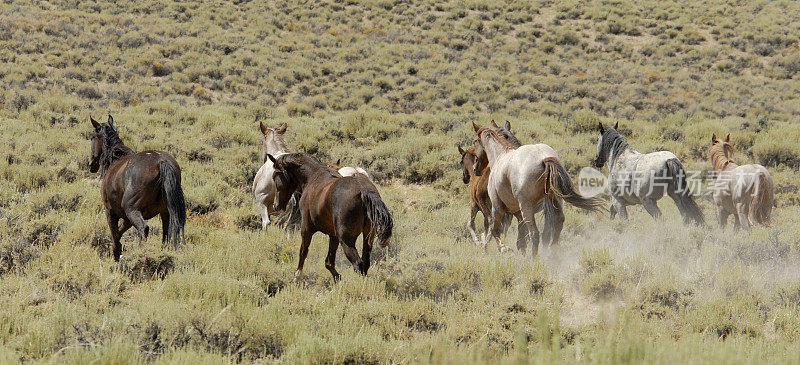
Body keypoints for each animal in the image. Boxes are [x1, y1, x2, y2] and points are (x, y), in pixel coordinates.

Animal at [88, 115, 187, 260]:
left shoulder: (110, 211)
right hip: (165, 212)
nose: (90, 164)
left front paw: (116, 255)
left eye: (92, 137)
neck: (115, 160)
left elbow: (115, 235)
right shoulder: (126, 218)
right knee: (167, 233)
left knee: (143, 229)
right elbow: (119, 233)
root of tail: (161, 162)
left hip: (132, 209)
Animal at [268, 152, 394, 280]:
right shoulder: (333, 235)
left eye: (274, 176)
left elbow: (303, 251)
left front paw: (297, 276)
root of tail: (363, 190)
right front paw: (337, 278)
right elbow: (329, 262)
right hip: (368, 237)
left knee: (357, 263)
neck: (313, 177)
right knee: (365, 263)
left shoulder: (306, 228)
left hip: (346, 240)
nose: (276, 205)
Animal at [472, 121, 604, 256]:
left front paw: (501, 248)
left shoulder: (498, 207)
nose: (475, 168)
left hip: (527, 208)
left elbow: (494, 230)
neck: (500, 156)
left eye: (475, 141)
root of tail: (544, 158)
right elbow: (520, 241)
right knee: (557, 223)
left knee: (535, 233)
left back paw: (534, 258)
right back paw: (552, 255)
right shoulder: (518, 214)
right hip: (554, 200)